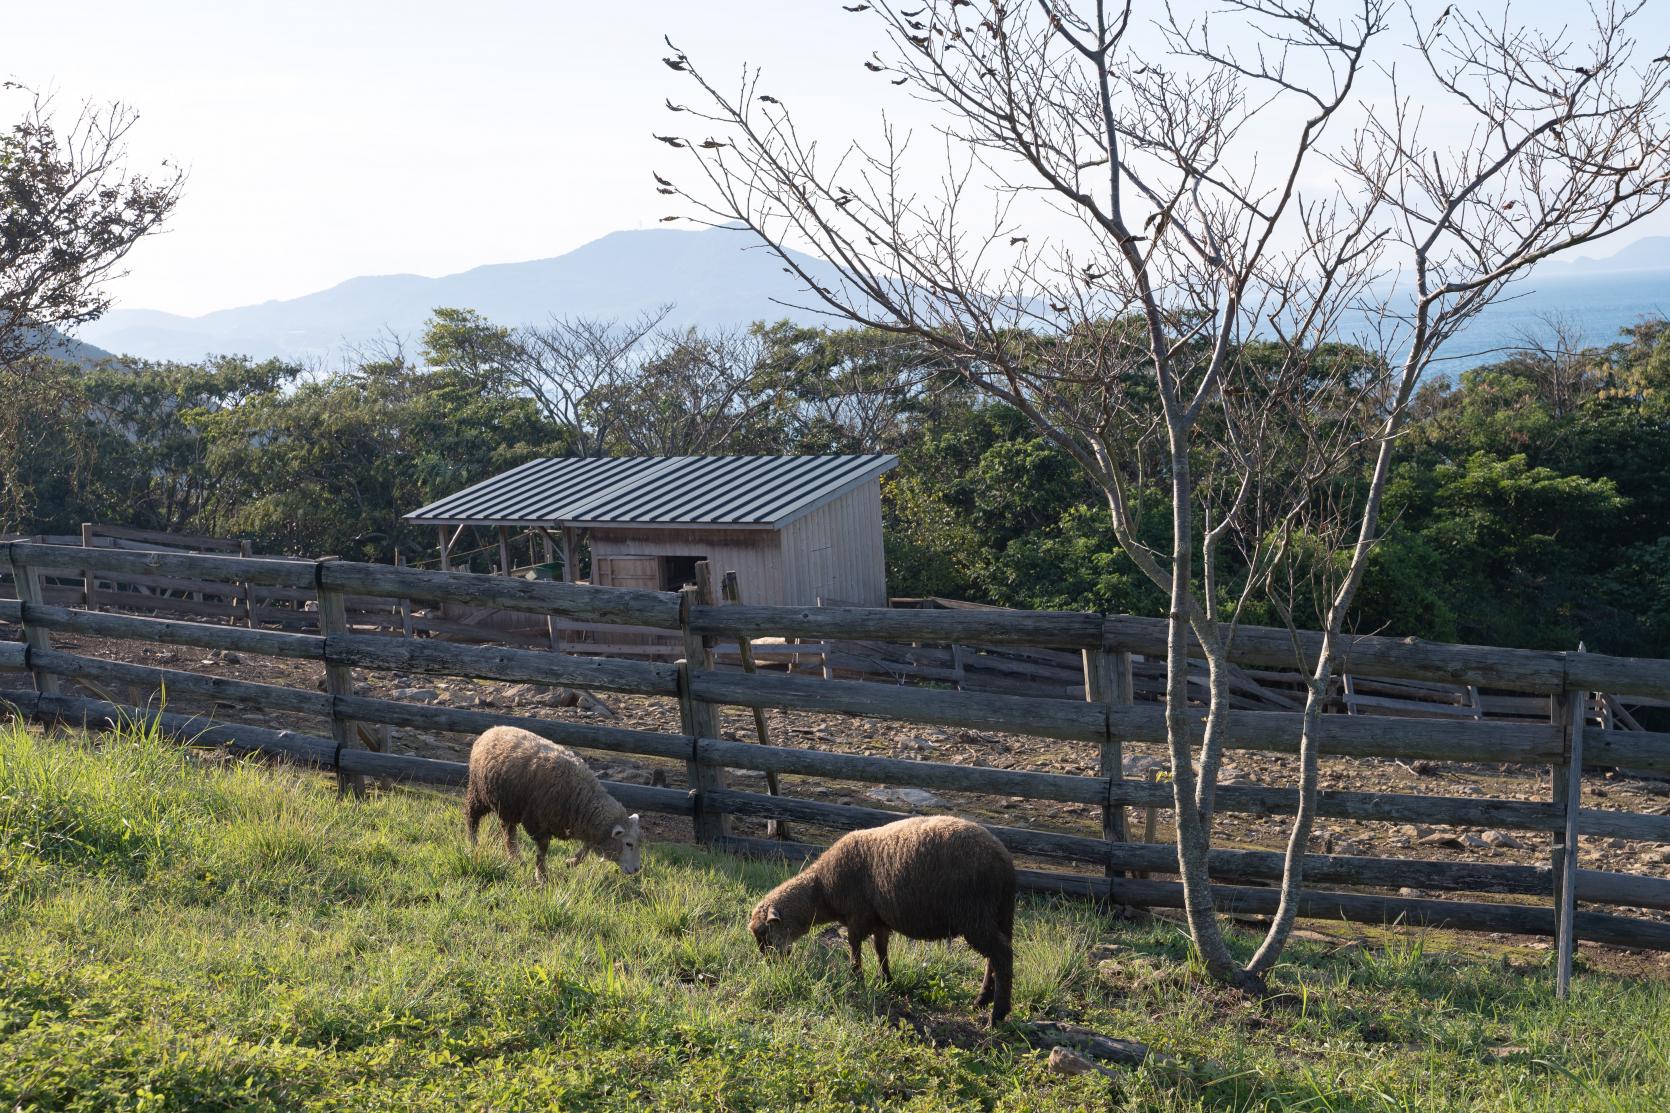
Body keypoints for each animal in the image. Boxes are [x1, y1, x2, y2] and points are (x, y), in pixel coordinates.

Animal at [467, 725, 641, 882]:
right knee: (472, 817)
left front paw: (571, 862)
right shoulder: (539, 822)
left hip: (509, 805)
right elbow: (542, 851)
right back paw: (473, 844)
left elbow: (588, 845)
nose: (637, 870)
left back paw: (516, 858)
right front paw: (541, 876)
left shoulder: (583, 826)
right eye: (628, 844)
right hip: (479, 792)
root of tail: (492, 730)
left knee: (508, 832)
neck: (580, 797)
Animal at [748, 812, 1015, 1016]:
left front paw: (857, 978)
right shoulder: (879, 920)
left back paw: (996, 1015)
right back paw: (982, 1001)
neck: (821, 890)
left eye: (764, 933)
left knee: (1002, 955)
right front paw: (887, 980)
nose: (771, 965)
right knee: (995, 956)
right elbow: (881, 950)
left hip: (973, 914)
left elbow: (854, 947)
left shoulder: (857, 916)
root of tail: (1004, 861)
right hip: (999, 914)